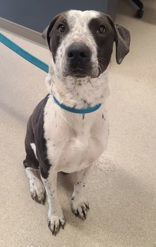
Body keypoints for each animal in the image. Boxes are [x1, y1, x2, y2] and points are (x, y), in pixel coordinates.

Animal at [23, 10, 130, 235]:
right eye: (61, 27)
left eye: (101, 28)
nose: (78, 51)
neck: (79, 108)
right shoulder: (48, 167)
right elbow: (53, 195)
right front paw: (55, 216)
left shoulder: (90, 162)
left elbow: (81, 184)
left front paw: (78, 202)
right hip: (32, 150)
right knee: (27, 165)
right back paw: (36, 187)